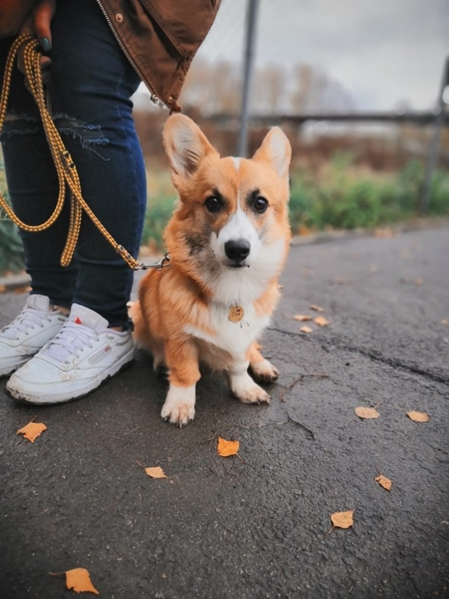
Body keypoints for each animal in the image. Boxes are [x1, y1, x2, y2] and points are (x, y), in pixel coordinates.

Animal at [130, 115, 290, 426]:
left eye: (260, 203)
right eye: (212, 202)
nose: (237, 249)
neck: (233, 286)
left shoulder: (242, 337)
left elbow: (240, 362)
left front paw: (245, 388)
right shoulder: (179, 338)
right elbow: (185, 373)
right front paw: (180, 404)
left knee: (254, 350)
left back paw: (263, 367)